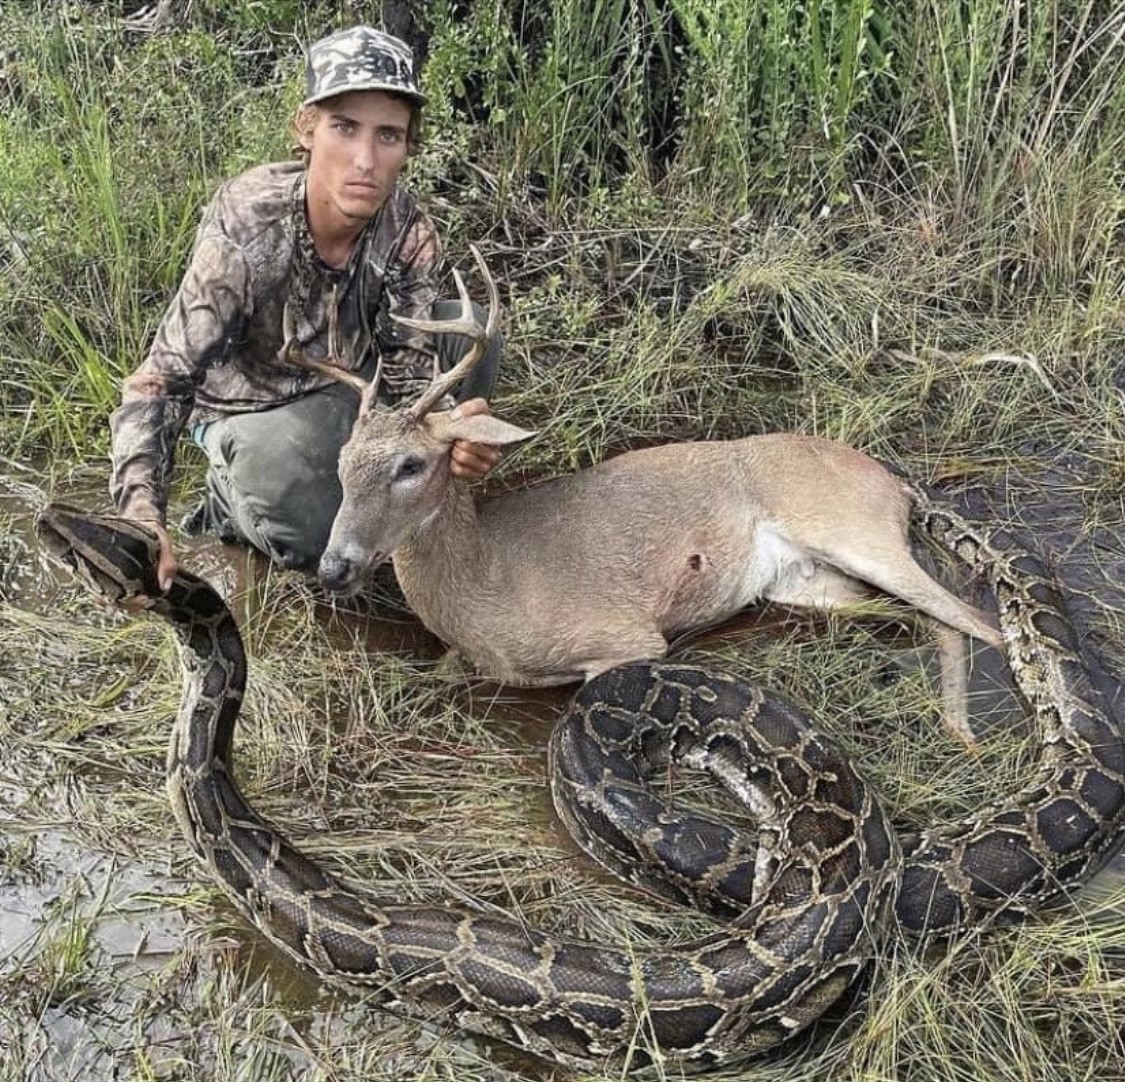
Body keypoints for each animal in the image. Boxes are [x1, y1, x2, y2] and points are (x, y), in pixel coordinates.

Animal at [283, 247, 1004, 747]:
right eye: (342, 463)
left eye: (411, 464)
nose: (335, 566)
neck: (489, 584)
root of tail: (894, 482)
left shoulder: (628, 636)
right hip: (807, 583)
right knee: (932, 618)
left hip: (853, 528)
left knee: (976, 618)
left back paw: (976, 735)